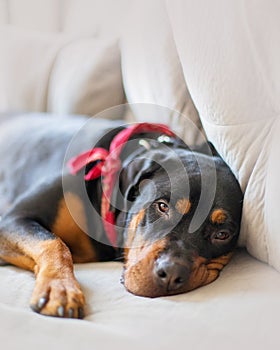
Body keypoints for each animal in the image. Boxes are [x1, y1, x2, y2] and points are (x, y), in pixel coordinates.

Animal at [0, 114, 242, 318]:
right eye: (162, 206)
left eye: (222, 234)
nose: (172, 273)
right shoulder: (14, 218)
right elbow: (54, 244)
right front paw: (60, 289)